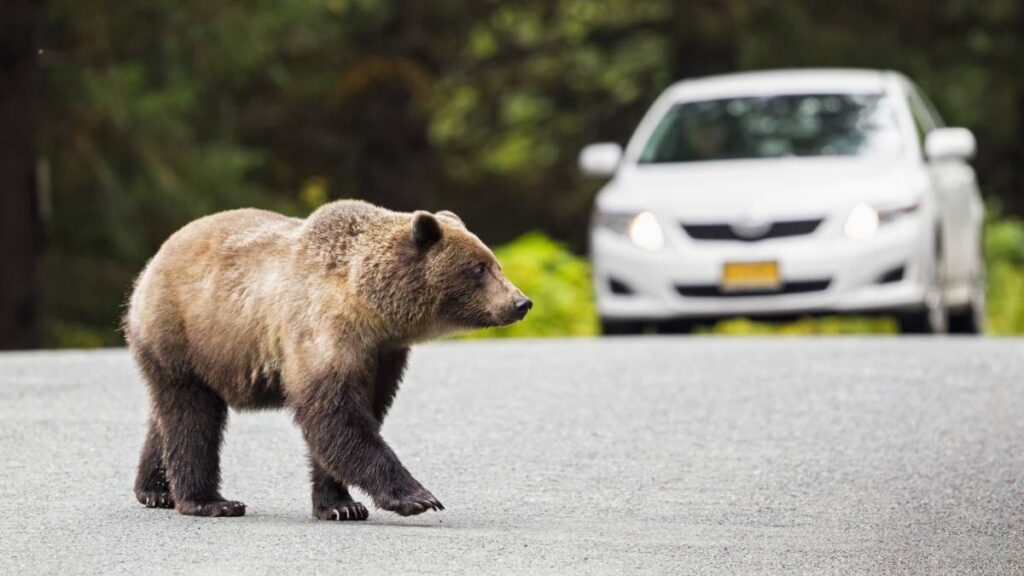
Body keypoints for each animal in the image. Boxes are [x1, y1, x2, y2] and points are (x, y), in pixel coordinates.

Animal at [123, 199, 532, 518]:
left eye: (496, 264)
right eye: (478, 268)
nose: (520, 302)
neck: (372, 310)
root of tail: (153, 260)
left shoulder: (383, 356)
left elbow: (360, 415)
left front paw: (340, 504)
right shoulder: (321, 334)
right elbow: (336, 416)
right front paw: (417, 496)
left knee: (168, 417)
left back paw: (154, 489)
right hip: (182, 335)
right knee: (193, 418)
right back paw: (209, 501)